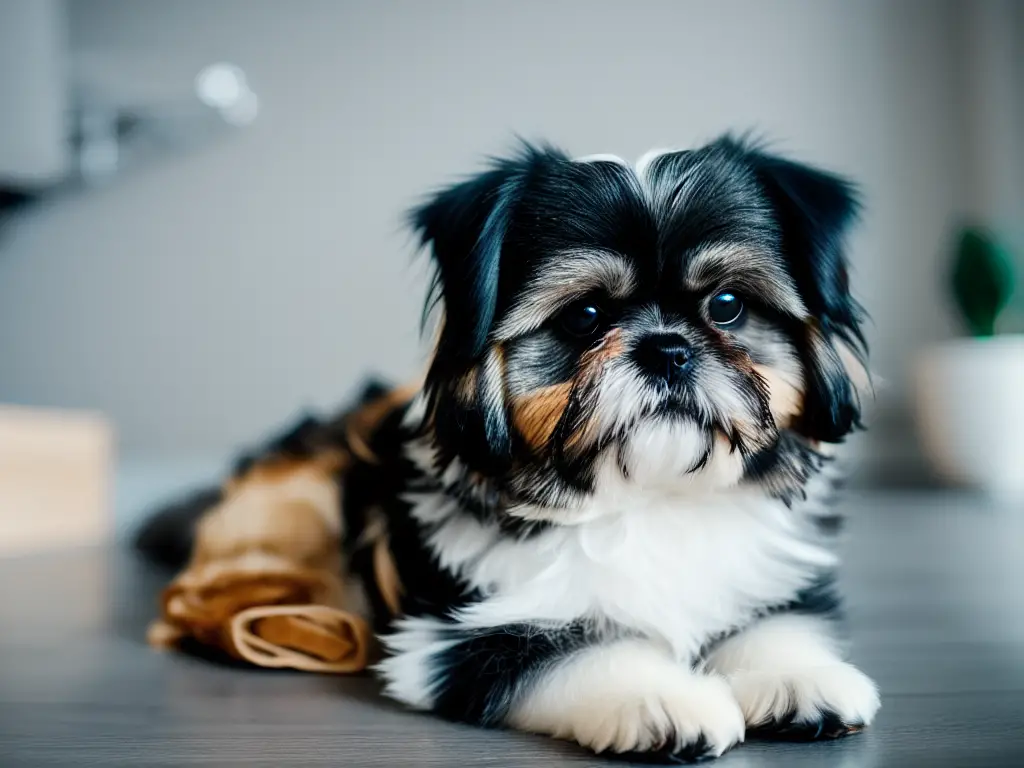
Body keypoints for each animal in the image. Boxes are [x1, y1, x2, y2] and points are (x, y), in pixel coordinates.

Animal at [142, 137, 880, 765]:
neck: (644, 495)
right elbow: (576, 648)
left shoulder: (773, 577)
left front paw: (797, 677)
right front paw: (664, 697)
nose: (668, 347)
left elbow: (775, 624)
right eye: (584, 318)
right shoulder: (466, 635)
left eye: (726, 305)